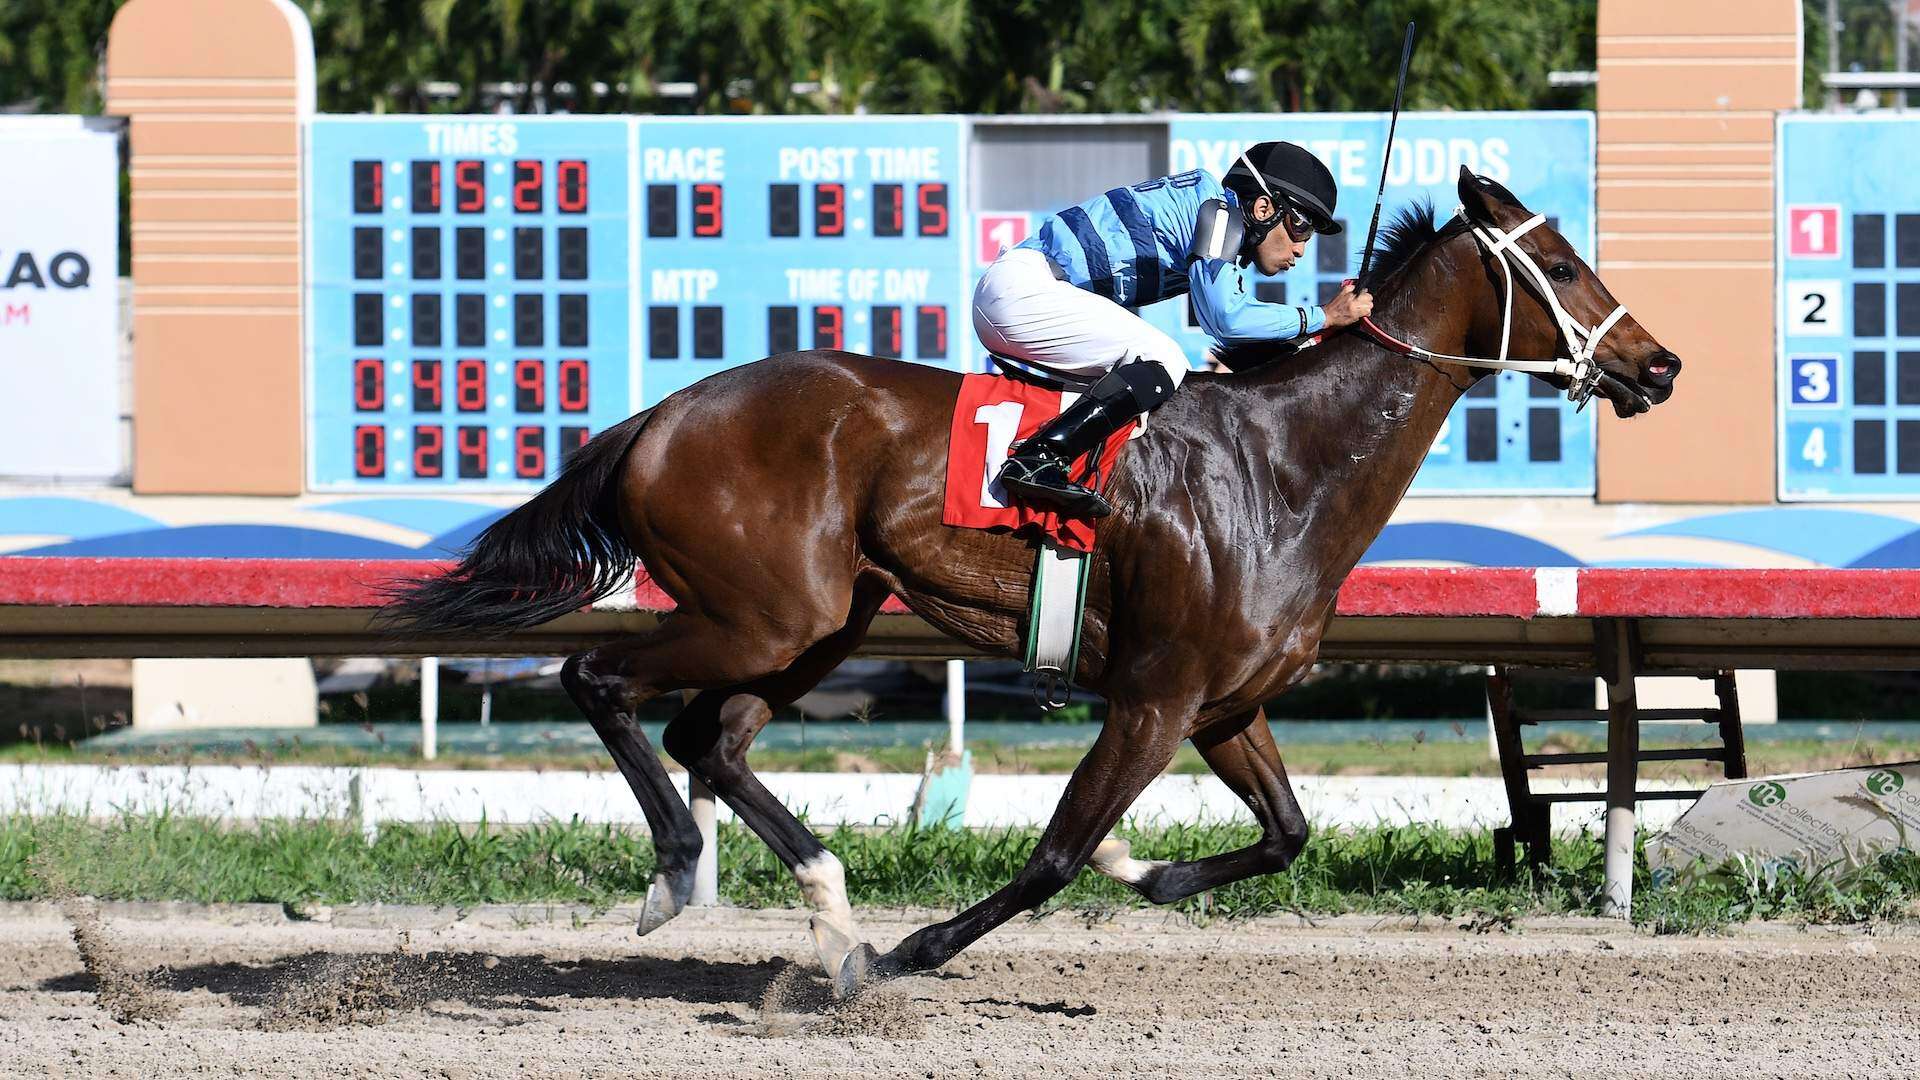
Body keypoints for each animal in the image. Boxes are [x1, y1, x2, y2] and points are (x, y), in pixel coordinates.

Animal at [381, 167, 1680, 997]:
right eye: (1560, 263)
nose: (1659, 364)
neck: (1284, 466)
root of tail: (663, 411)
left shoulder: (1225, 704)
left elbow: (1285, 834)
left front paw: (1140, 866)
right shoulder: (1153, 698)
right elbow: (1054, 853)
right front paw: (913, 953)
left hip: (820, 623)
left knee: (711, 735)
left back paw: (829, 906)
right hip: (765, 613)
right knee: (599, 675)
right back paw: (683, 883)